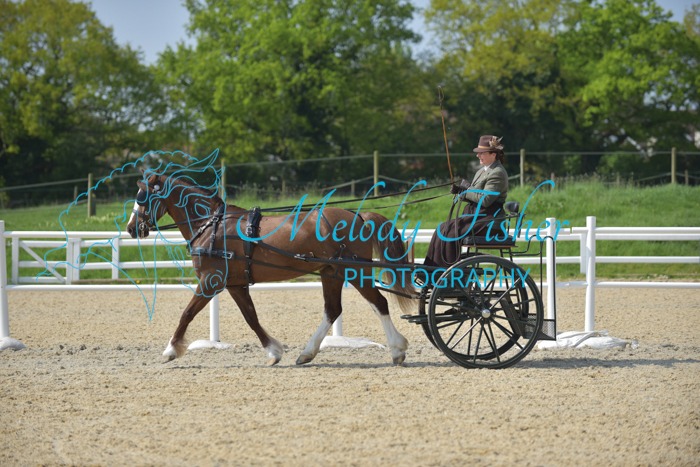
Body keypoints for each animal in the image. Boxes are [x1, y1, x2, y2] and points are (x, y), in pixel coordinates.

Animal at [126, 170, 416, 366]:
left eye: (143, 197)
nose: (131, 229)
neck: (211, 225)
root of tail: (358, 216)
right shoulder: (235, 284)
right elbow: (251, 317)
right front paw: (273, 351)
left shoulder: (211, 280)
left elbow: (187, 314)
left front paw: (170, 350)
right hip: (332, 273)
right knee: (333, 310)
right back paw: (307, 353)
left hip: (355, 271)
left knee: (379, 303)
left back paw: (397, 349)